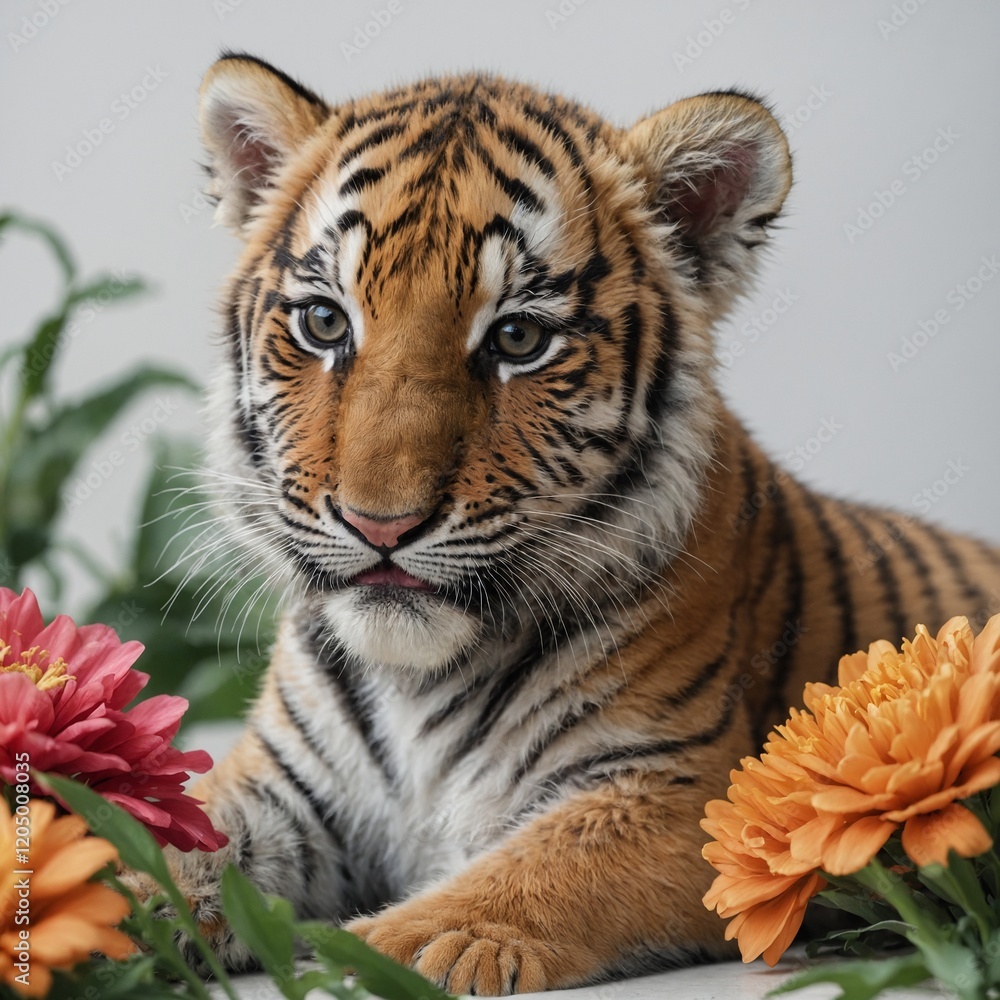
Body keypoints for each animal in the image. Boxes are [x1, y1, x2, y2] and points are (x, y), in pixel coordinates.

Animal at [155, 53, 1000, 995]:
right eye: (325, 321)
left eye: (518, 339)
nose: (381, 525)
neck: (417, 682)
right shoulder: (280, 789)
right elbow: (153, 842)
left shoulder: (675, 790)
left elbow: (524, 875)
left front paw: (374, 953)